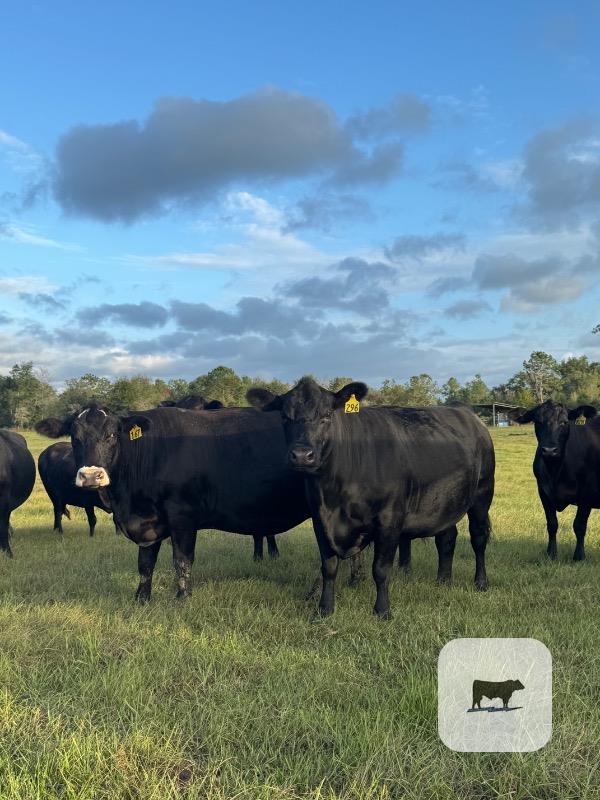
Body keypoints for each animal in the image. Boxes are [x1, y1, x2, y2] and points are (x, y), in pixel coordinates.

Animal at [247, 377, 495, 619]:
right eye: (284, 417)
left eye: (326, 415)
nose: (301, 455)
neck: (334, 495)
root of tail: (465, 411)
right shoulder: (320, 519)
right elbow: (329, 567)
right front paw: (324, 609)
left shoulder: (389, 520)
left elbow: (381, 569)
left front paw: (382, 611)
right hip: (445, 501)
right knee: (446, 537)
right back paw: (442, 580)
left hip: (482, 494)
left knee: (478, 538)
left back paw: (481, 582)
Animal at [512, 400, 598, 561]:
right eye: (538, 421)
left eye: (564, 422)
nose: (549, 450)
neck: (556, 472)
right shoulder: (543, 491)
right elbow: (552, 524)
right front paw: (551, 553)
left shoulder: (587, 493)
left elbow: (579, 525)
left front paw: (579, 556)